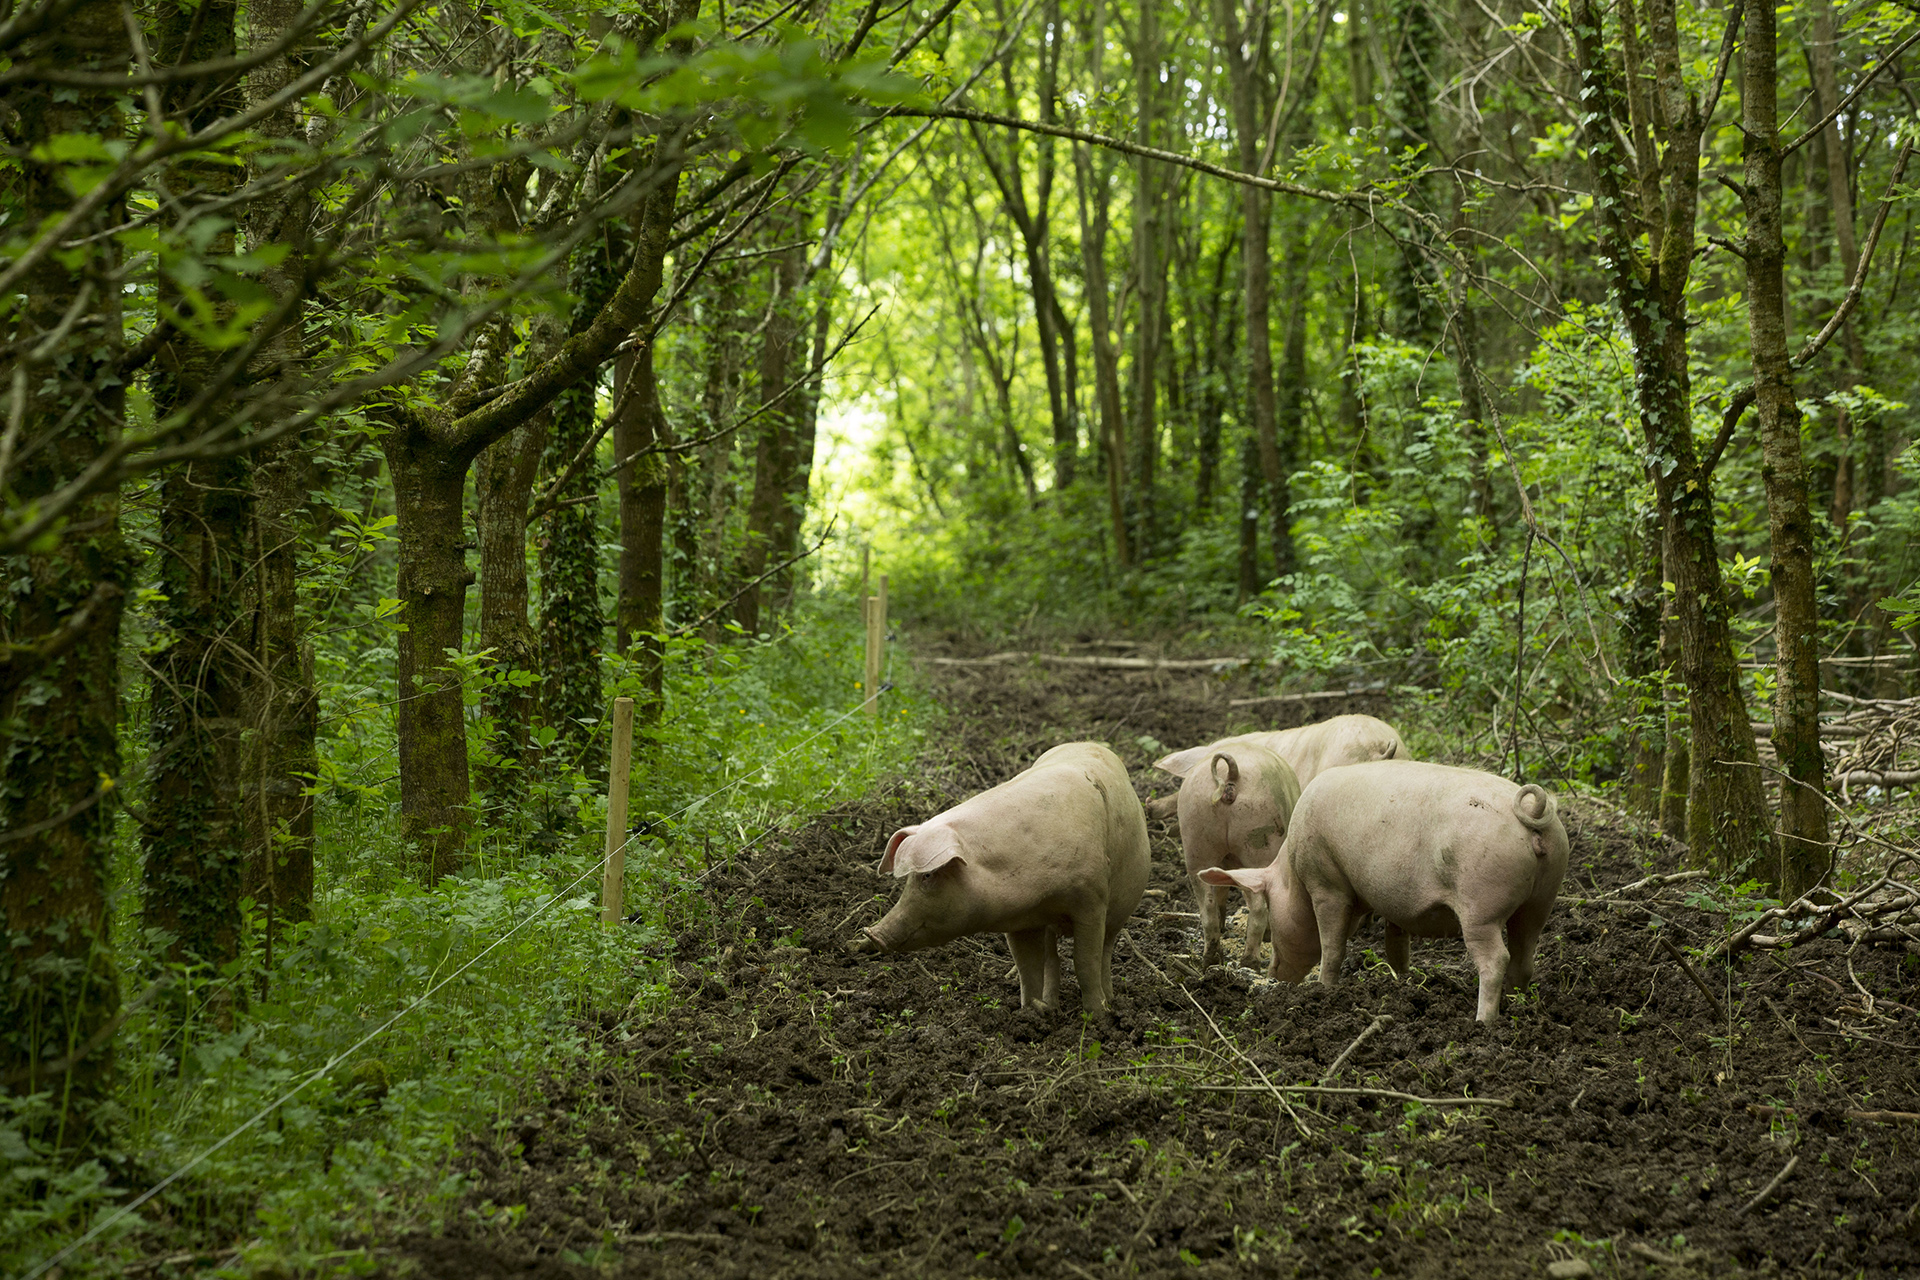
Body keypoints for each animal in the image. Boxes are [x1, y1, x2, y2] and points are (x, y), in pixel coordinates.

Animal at [849, 741, 1150, 1014]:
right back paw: (1051, 1007)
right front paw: (1031, 1012)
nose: (872, 934)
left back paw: (1110, 1003)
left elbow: (1085, 961)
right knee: (1051, 960)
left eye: (928, 875)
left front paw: (1096, 1017)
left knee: (1105, 951)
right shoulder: (1021, 922)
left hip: (1119, 908)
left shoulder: (1092, 900)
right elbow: (1027, 967)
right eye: (910, 879)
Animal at [1172, 744, 1301, 968]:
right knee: (1258, 907)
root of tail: (1231, 774)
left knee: (1207, 905)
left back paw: (1211, 959)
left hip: (1195, 839)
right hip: (1260, 839)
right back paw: (1250, 962)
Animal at [1198, 761, 1569, 1022]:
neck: (1293, 871)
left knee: (1496, 959)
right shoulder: (1397, 905)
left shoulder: (1327, 882)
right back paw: (1517, 1006)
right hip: (1542, 899)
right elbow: (1396, 948)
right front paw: (1403, 984)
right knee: (1524, 956)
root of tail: (1532, 814)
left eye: (1275, 924)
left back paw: (1483, 1022)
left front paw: (1324, 989)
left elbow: (1332, 945)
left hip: (1481, 904)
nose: (1274, 976)